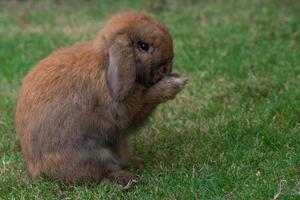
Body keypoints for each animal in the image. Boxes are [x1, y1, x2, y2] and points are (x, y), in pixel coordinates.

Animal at [15, 11, 188, 188]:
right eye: (143, 46)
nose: (167, 68)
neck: (104, 63)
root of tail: (35, 169)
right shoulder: (122, 112)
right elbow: (143, 101)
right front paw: (175, 83)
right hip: (91, 156)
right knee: (99, 174)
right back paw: (126, 178)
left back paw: (136, 162)